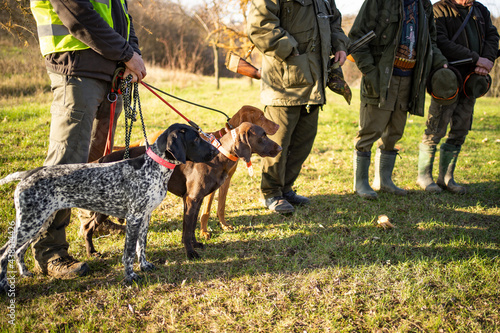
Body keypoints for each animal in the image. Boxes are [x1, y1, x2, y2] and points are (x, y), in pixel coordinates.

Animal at [0, 122, 219, 286]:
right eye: (196, 139)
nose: (215, 152)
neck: (154, 167)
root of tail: (29, 173)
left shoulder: (145, 217)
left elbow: (141, 247)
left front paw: (144, 265)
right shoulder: (134, 218)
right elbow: (129, 252)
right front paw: (130, 276)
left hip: (39, 221)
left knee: (17, 250)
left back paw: (24, 273)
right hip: (31, 223)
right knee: (5, 252)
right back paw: (4, 286)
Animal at [80, 105, 280, 258]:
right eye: (262, 135)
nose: (280, 148)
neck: (219, 154)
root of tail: (102, 159)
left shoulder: (195, 200)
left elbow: (191, 227)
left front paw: (196, 243)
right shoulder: (192, 199)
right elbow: (187, 228)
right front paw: (190, 253)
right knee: (88, 227)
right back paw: (91, 252)